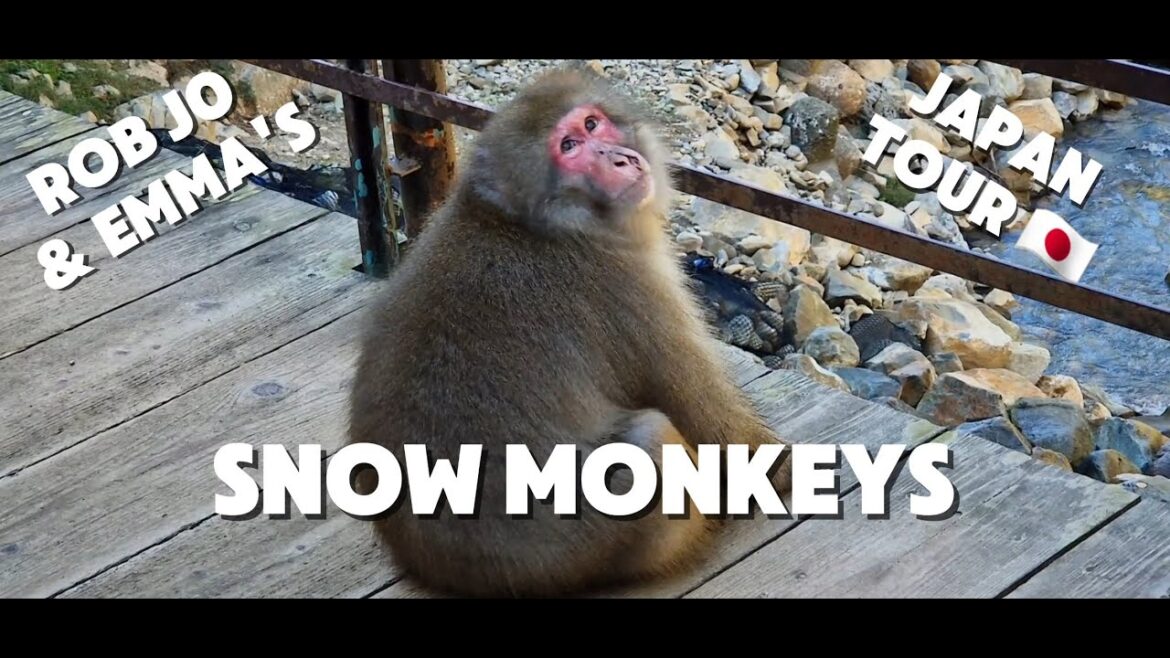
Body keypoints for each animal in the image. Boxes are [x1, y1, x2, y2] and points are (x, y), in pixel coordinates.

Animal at [347, 66, 791, 598]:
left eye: (593, 124)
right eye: (570, 146)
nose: (619, 158)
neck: (535, 223)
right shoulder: (627, 286)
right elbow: (708, 416)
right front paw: (782, 472)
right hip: (581, 541)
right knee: (651, 438)